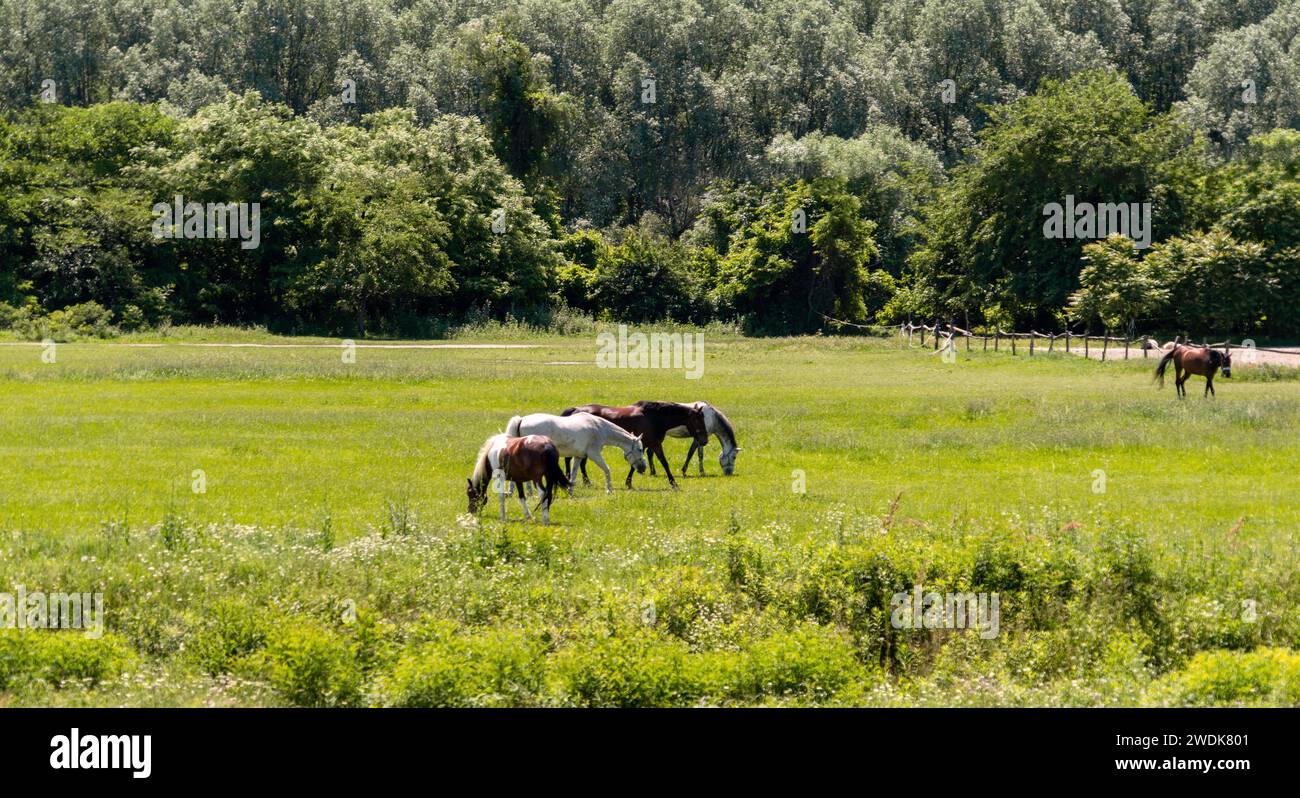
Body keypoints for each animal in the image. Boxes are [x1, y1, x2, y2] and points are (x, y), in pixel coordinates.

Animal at [505, 413, 647, 494]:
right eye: (640, 449)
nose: (643, 468)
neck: (599, 428)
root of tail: (522, 420)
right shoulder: (594, 454)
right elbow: (607, 469)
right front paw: (609, 490)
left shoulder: (578, 457)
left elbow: (573, 474)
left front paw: (570, 491)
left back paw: (514, 493)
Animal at [561, 401, 708, 489]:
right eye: (698, 420)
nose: (704, 440)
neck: (653, 418)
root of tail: (575, 409)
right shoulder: (648, 445)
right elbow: (656, 463)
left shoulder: (650, 445)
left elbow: (653, 463)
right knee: (575, 461)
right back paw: (579, 480)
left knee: (578, 462)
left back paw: (584, 482)